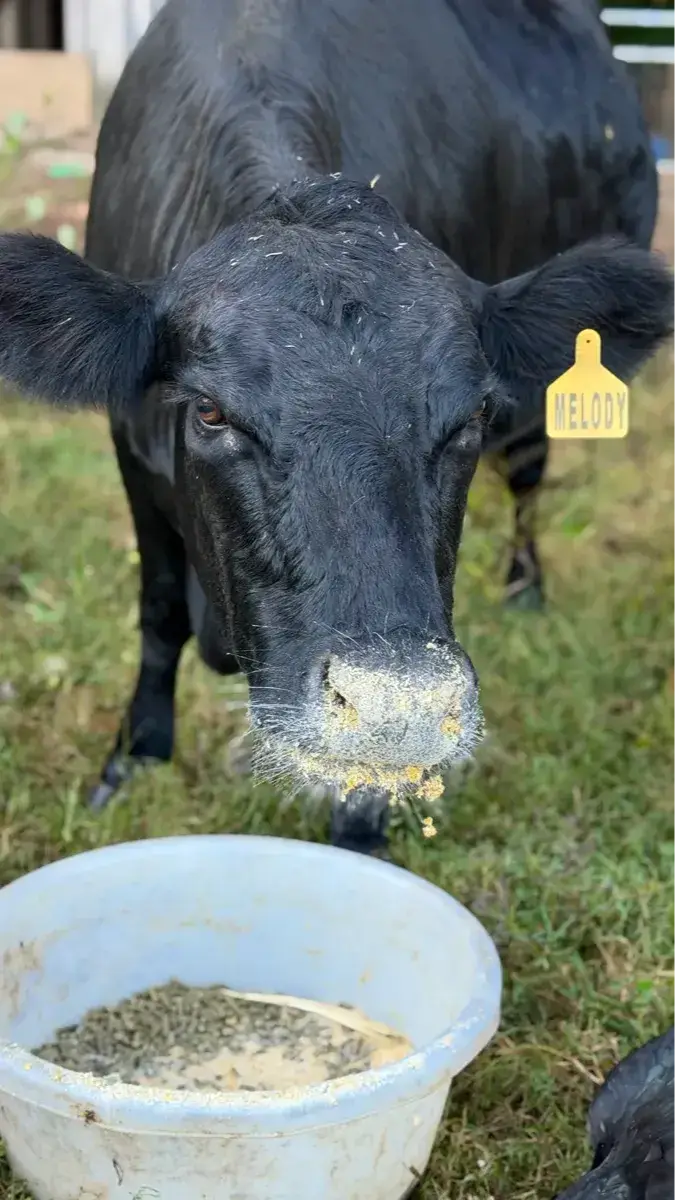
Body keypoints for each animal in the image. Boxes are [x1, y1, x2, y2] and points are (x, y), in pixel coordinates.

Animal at [0, 0, 673, 856]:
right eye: (209, 411)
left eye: (469, 417)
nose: (397, 709)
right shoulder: (132, 451)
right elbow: (158, 612)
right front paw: (135, 754)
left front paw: (359, 820)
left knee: (528, 482)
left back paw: (524, 587)